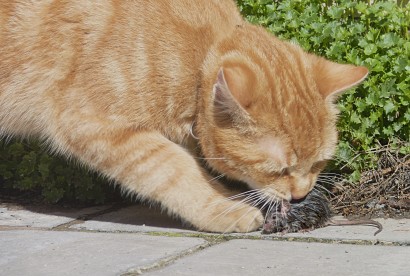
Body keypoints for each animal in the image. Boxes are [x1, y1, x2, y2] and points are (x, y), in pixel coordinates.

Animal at [0, 0, 366, 233]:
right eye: (278, 170)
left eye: (318, 164)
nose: (301, 195)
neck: (195, 62)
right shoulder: (94, 125)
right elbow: (176, 169)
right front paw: (224, 208)